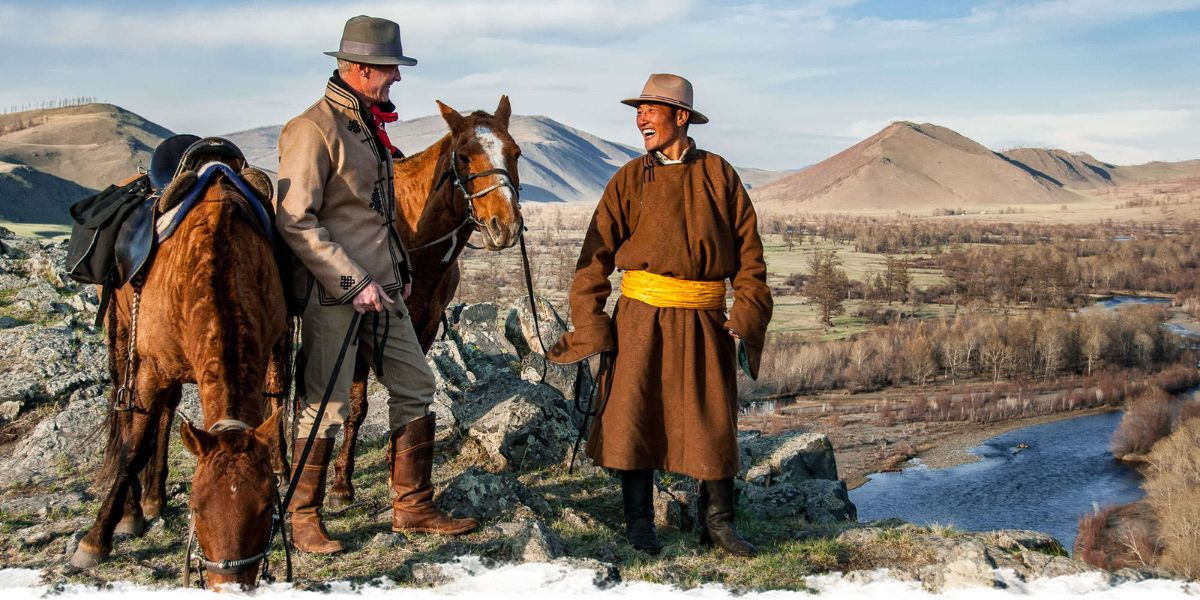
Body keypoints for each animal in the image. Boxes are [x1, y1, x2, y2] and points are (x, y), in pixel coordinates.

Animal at [72, 156, 288, 590]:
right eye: (197, 507)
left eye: (265, 508)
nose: (230, 586)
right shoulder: (151, 369)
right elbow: (132, 449)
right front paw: (96, 539)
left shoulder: (274, 341)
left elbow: (277, 401)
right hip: (124, 341)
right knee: (128, 419)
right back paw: (134, 510)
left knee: (167, 411)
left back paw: (153, 497)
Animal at [326, 97, 523, 506]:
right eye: (463, 156)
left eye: (515, 152)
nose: (506, 225)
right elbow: (356, 406)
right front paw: (341, 484)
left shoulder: (426, 327)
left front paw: (396, 473)